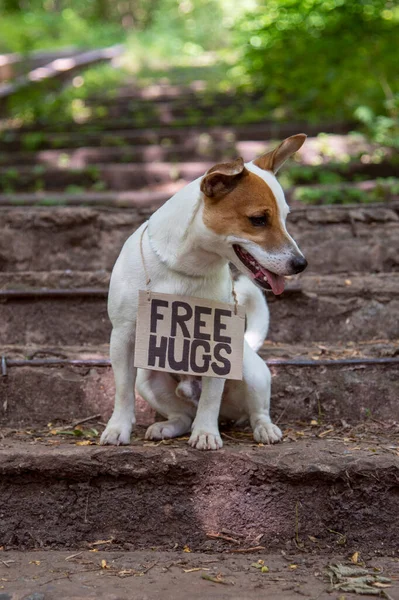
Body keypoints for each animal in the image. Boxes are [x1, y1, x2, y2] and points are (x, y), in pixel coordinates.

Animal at [101, 132, 310, 450]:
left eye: (285, 217)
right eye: (259, 219)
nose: (301, 264)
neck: (184, 266)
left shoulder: (217, 346)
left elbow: (211, 397)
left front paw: (206, 433)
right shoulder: (123, 337)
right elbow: (123, 392)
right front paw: (118, 428)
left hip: (251, 373)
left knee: (255, 412)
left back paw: (264, 429)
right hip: (148, 380)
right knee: (183, 416)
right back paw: (167, 426)